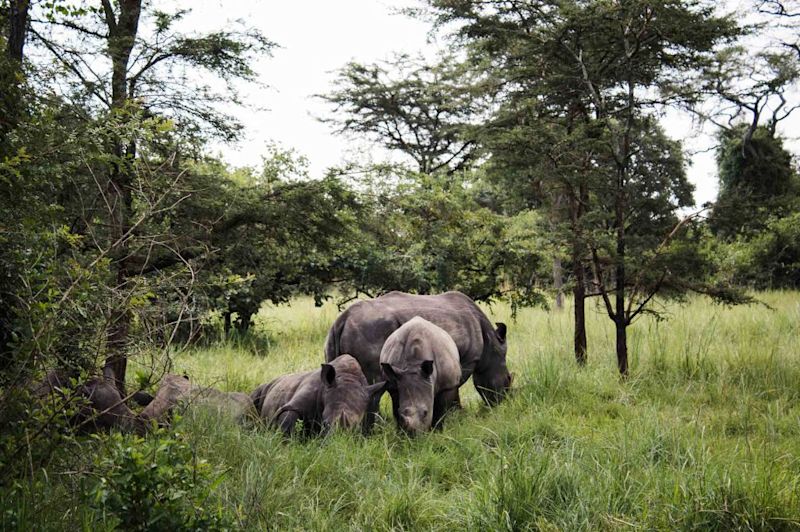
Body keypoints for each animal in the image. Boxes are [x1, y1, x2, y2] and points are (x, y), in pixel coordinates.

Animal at [252, 354, 386, 436]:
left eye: (356, 428)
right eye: (325, 423)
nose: (337, 440)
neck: (347, 377)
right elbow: (288, 417)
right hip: (266, 385)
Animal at [324, 290, 512, 428]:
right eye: (508, 380)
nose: (502, 403)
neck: (490, 345)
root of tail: (343, 319)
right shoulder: (468, 359)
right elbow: (457, 385)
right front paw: (458, 414)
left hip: (333, 338)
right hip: (371, 329)